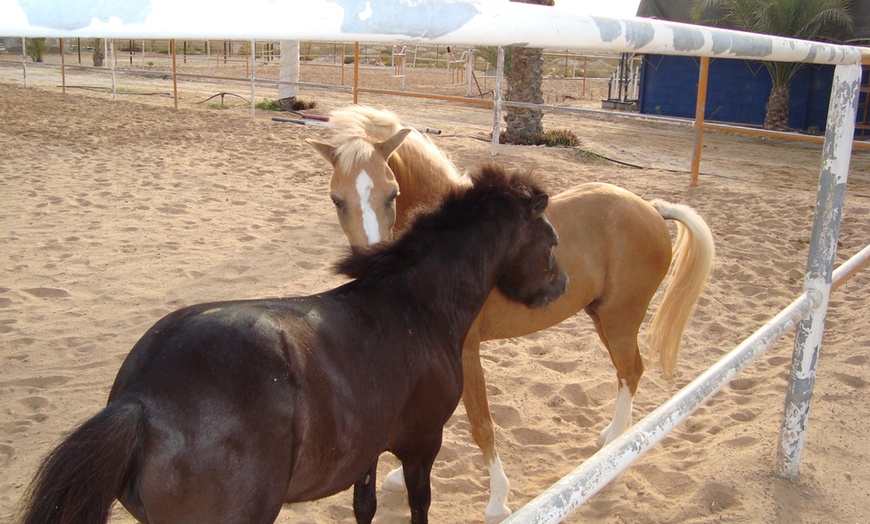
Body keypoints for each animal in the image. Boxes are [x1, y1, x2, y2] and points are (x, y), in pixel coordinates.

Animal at [20, 164, 572, 524]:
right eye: (550, 240)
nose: (562, 284)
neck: (415, 305)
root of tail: (139, 399)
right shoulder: (421, 443)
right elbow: (419, 506)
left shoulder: (367, 448)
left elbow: (365, 507)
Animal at [310, 104, 720, 520]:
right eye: (336, 199)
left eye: (392, 193)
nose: (368, 265)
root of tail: (652, 209)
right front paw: (397, 475)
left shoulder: (467, 352)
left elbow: (481, 424)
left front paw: (497, 501)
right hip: (602, 318)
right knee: (627, 373)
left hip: (620, 320)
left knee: (631, 371)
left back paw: (613, 446)